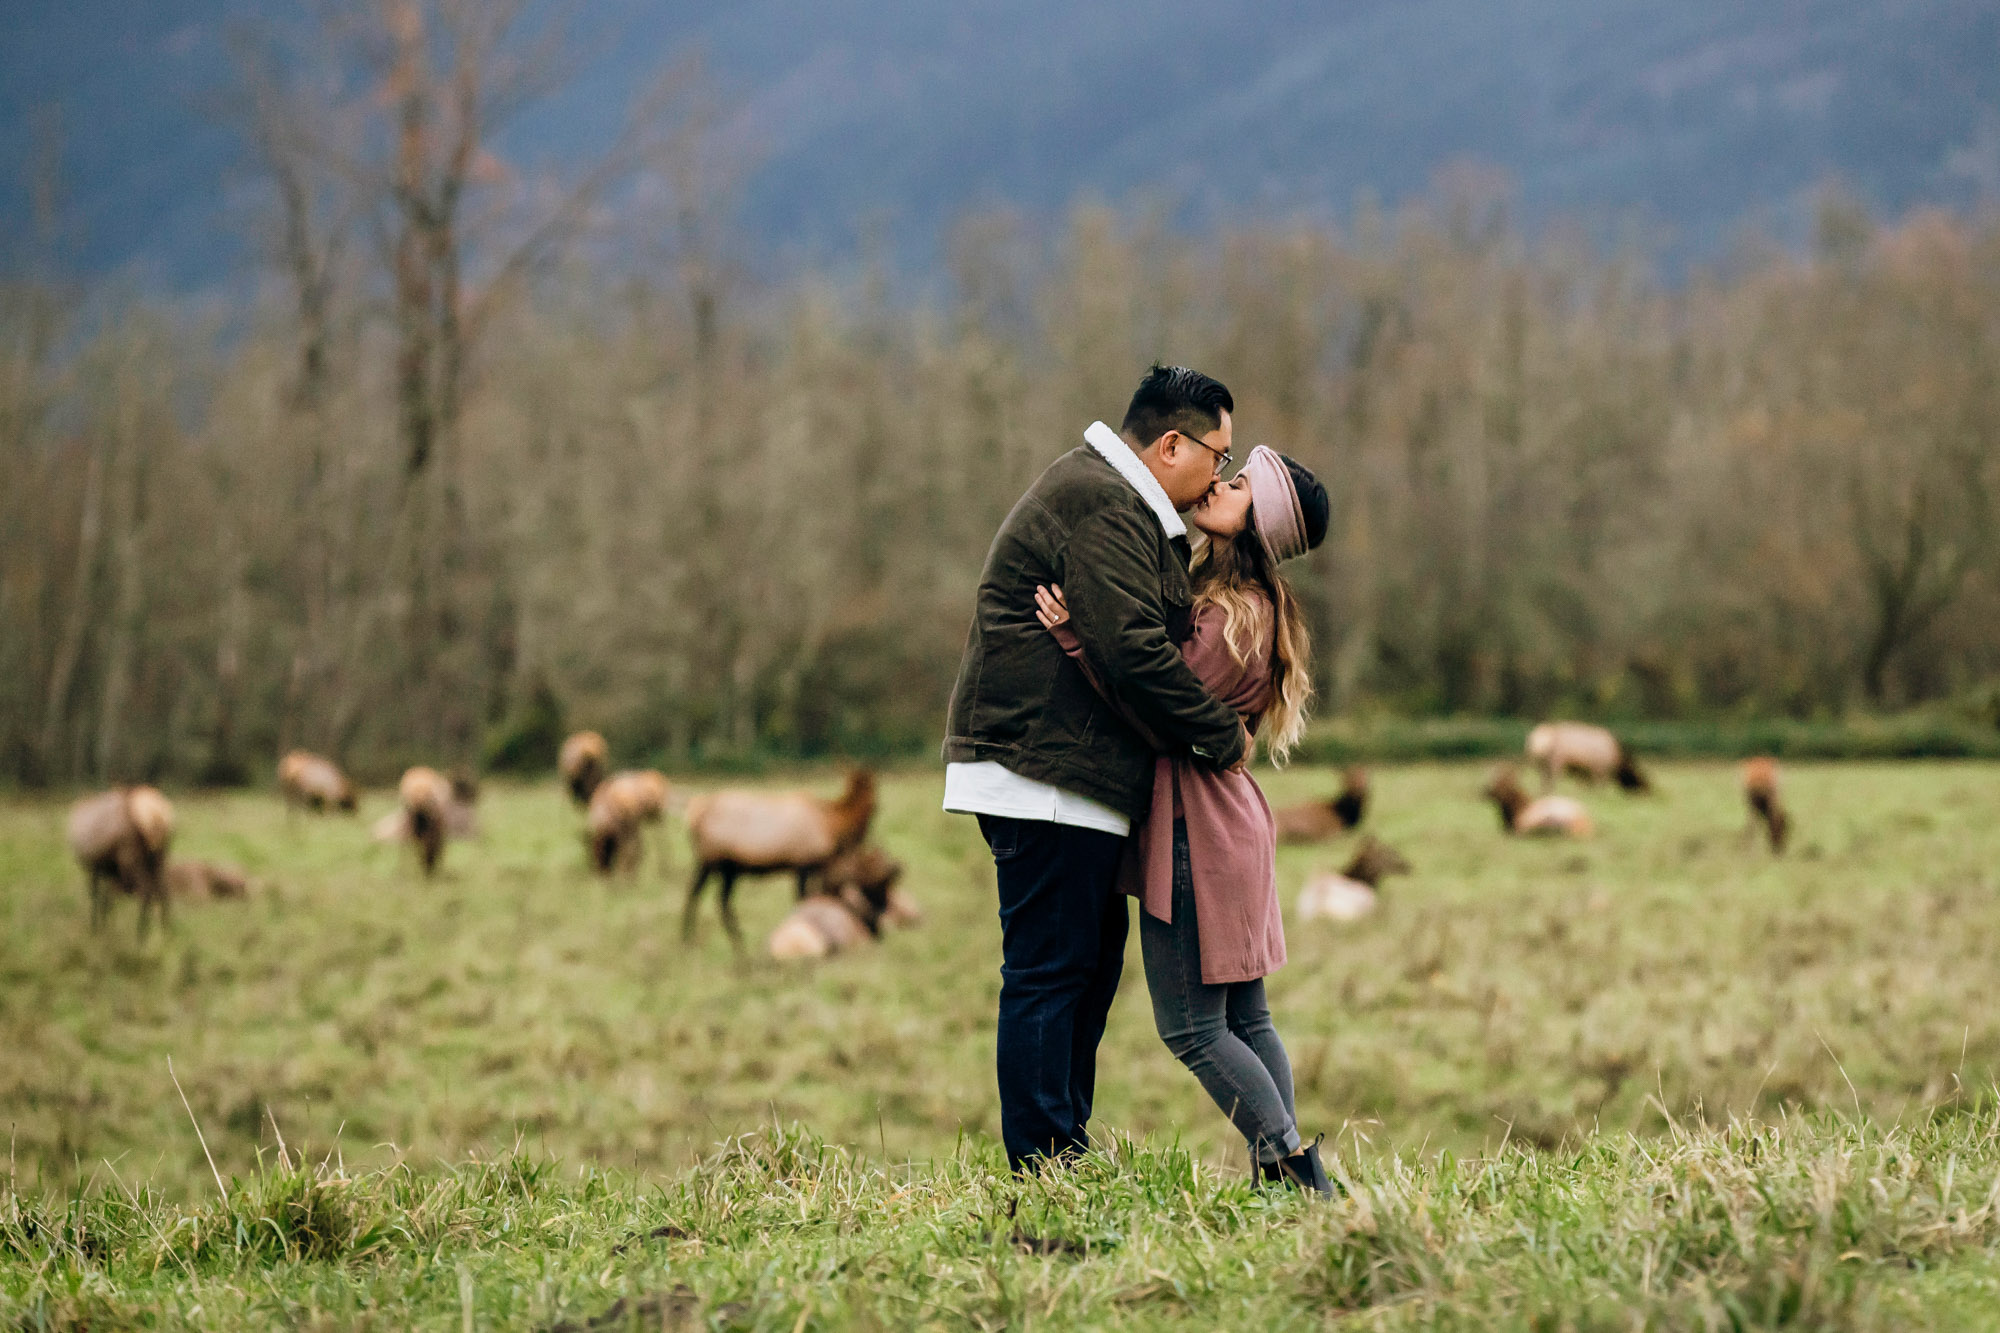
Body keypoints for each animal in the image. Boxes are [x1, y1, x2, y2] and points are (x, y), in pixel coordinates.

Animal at [68, 784, 176, 940]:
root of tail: (155, 816)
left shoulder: (96, 866)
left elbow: (96, 897)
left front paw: (96, 929)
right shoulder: (108, 870)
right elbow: (107, 899)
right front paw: (107, 927)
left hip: (130, 856)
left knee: (146, 892)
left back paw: (140, 936)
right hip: (160, 858)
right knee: (164, 893)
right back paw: (167, 933)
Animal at [684, 768, 880, 944]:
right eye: (875, 804)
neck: (832, 824)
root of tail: (693, 816)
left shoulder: (814, 868)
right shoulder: (803, 863)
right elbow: (802, 898)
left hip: (724, 868)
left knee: (710, 897)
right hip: (711, 860)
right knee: (696, 893)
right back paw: (692, 939)